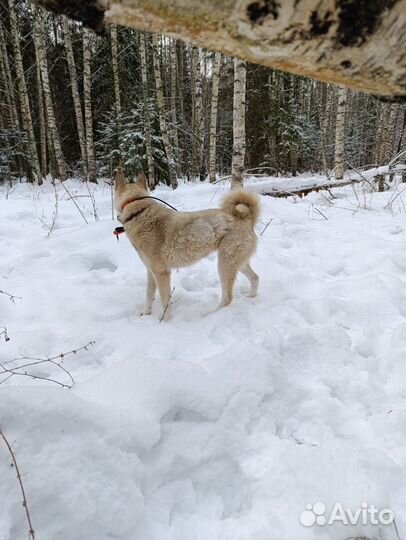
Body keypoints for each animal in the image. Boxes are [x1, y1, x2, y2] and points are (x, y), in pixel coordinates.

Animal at [114, 171, 260, 318]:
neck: (138, 212)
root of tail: (246, 219)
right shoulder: (151, 271)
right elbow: (149, 295)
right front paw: (145, 313)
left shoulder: (161, 273)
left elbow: (165, 302)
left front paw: (165, 321)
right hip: (237, 264)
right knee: (255, 278)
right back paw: (250, 297)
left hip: (224, 264)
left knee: (227, 298)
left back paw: (209, 315)